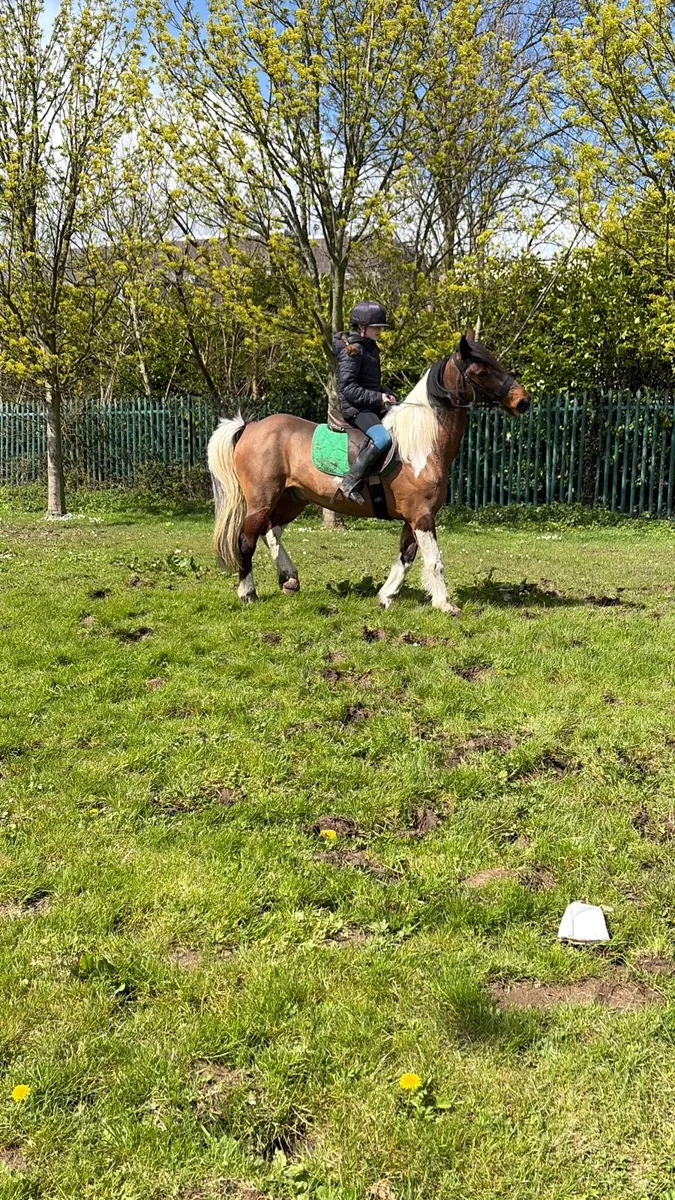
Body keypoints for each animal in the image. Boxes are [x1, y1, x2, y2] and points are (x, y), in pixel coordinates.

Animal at [207, 329, 530, 614]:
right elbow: (433, 560)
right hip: (262, 500)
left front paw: (386, 597)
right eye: (481, 371)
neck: (421, 447)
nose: (522, 400)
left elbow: (406, 557)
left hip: (292, 500)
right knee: (247, 541)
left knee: (271, 532)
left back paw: (289, 579)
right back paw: (248, 593)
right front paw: (445, 604)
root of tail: (251, 427)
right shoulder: (422, 516)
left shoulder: (413, 518)